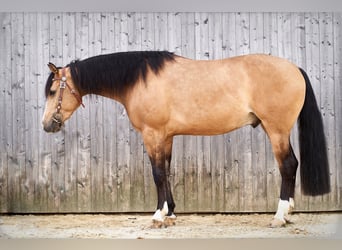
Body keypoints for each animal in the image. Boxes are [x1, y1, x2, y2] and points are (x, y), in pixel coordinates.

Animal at [41, 51, 330, 229]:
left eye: (53, 91)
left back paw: (280, 216)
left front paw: (158, 216)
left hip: (277, 130)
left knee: (288, 166)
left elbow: (157, 174)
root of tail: (294, 68)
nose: (46, 125)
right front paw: (170, 213)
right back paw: (288, 212)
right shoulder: (166, 137)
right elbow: (167, 172)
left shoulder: (153, 134)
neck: (139, 80)